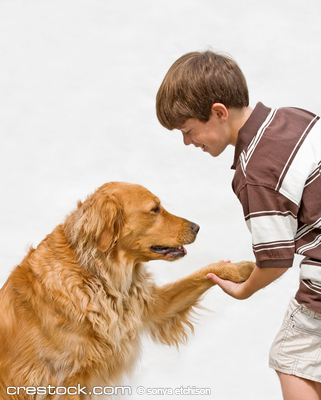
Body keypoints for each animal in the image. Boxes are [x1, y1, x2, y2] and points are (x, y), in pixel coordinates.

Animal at [0, 183, 254, 398]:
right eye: (155, 209)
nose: (197, 227)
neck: (100, 276)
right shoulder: (63, 381)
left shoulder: (152, 305)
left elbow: (201, 273)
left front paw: (239, 268)